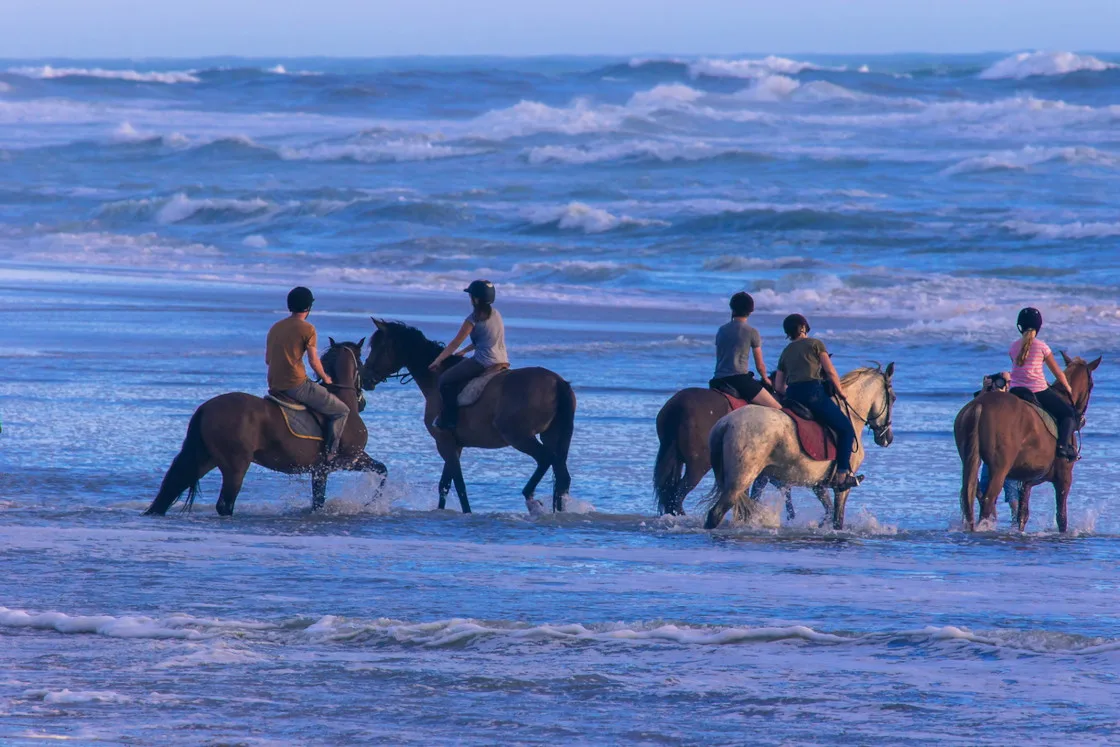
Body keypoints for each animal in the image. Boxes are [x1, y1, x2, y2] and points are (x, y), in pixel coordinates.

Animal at [142, 342, 387, 517]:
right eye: (361, 360)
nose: (372, 381)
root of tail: (205, 408)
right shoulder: (349, 459)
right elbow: (382, 470)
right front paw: (372, 502)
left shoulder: (319, 470)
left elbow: (318, 501)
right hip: (235, 464)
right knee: (225, 503)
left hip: (206, 458)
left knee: (174, 487)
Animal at [954, 351, 1102, 530]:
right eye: (1091, 384)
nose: (1081, 419)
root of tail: (980, 405)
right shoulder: (1064, 477)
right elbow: (1061, 517)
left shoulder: (1026, 482)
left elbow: (1022, 514)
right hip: (999, 468)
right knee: (988, 501)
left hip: (970, 461)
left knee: (972, 493)